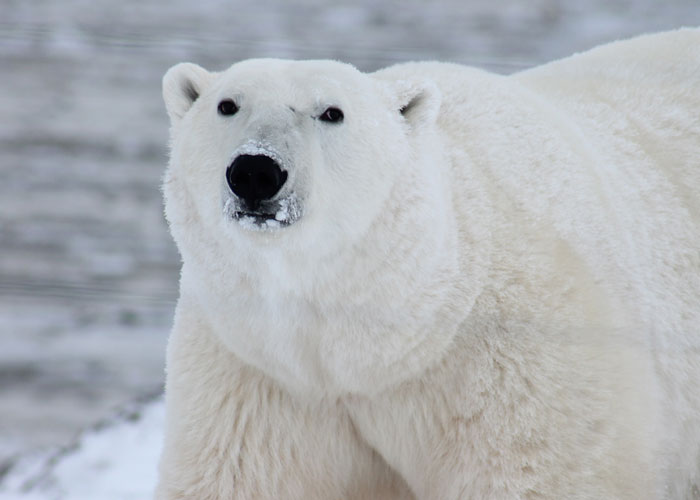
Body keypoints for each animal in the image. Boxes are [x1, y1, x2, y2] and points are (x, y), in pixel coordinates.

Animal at [156, 29, 700, 498]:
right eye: (227, 105)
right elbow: (241, 477)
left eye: (331, 112)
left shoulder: (518, 362)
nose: (255, 171)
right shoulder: (257, 371)